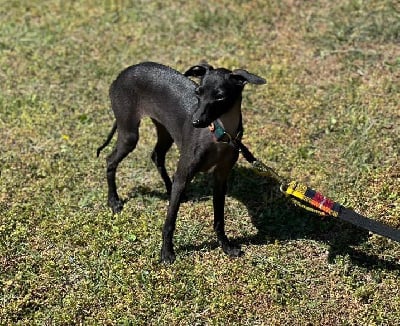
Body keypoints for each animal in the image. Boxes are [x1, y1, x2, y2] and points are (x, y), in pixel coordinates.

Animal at [97, 61, 266, 262]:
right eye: (198, 93)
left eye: (220, 97)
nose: (196, 121)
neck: (220, 134)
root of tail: (122, 74)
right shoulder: (185, 174)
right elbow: (170, 221)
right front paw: (167, 252)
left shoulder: (220, 179)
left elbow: (219, 219)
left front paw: (226, 246)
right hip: (129, 133)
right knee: (110, 160)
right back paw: (113, 201)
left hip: (165, 130)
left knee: (156, 155)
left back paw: (169, 188)